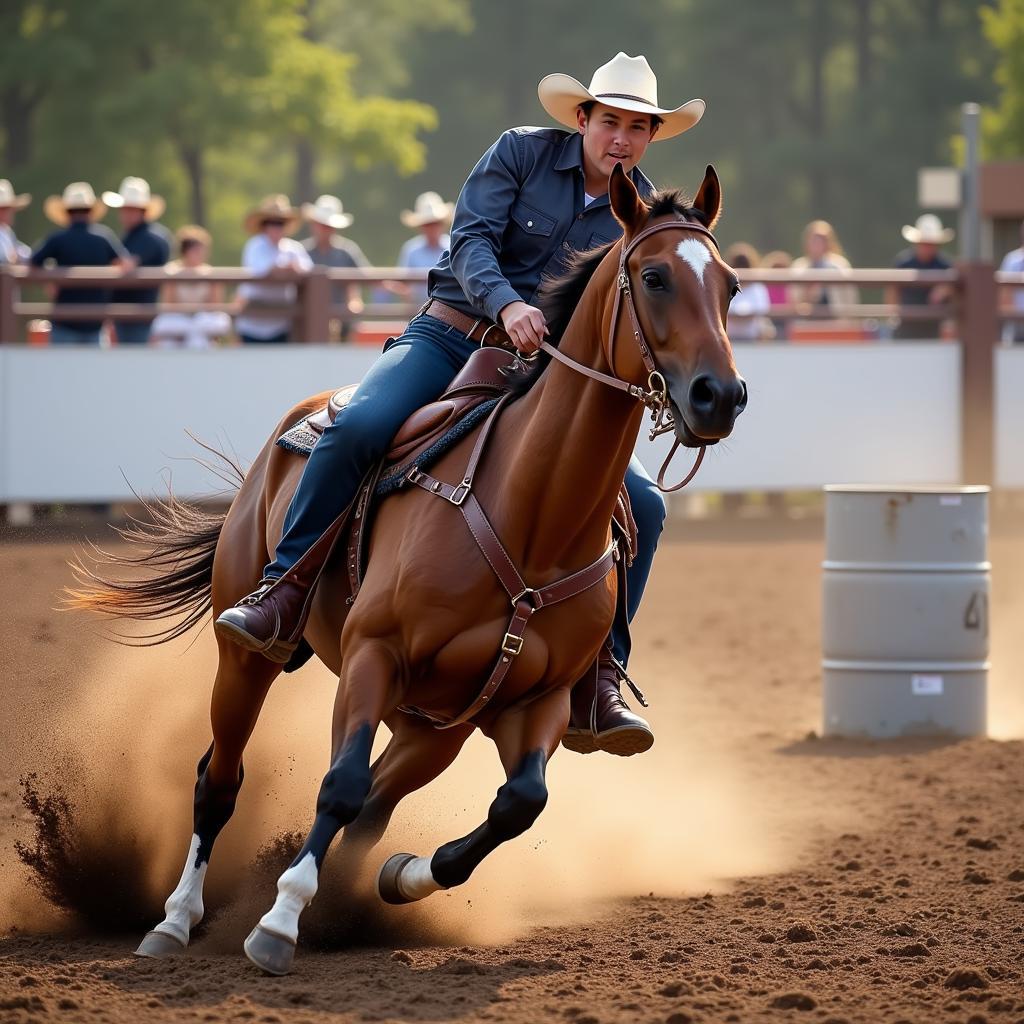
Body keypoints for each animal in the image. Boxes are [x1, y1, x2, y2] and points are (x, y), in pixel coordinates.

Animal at [70, 163, 745, 970]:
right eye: (654, 276)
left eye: (732, 284)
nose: (719, 395)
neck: (531, 516)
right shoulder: (374, 656)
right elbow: (339, 784)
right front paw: (277, 924)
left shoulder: (537, 702)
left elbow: (515, 806)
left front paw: (394, 879)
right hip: (249, 659)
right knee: (221, 776)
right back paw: (176, 918)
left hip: (436, 726)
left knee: (377, 804)